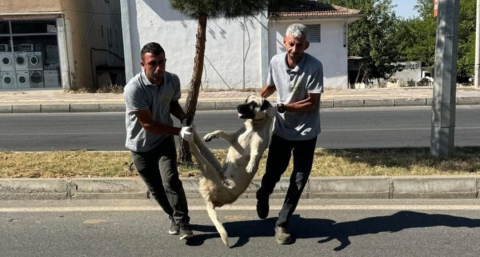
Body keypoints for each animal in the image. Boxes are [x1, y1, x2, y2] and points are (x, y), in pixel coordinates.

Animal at [188, 94, 278, 246]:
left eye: (253, 104)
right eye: (246, 101)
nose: (238, 106)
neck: (254, 125)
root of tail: (210, 200)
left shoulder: (258, 147)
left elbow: (254, 155)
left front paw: (251, 165)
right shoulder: (233, 138)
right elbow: (221, 132)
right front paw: (211, 134)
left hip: (210, 171)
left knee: (197, 152)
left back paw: (188, 136)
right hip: (213, 166)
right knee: (201, 147)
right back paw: (192, 132)